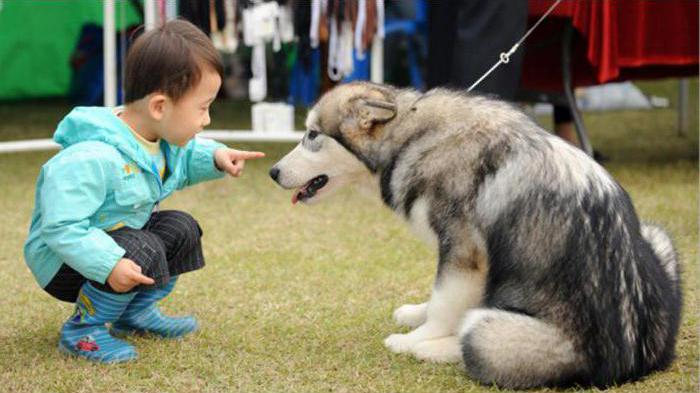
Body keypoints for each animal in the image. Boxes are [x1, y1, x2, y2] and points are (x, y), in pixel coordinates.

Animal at [266, 81, 680, 388]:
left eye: (312, 135)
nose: (272, 171)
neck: (410, 138)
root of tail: (631, 359)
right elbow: (440, 298)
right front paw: (416, 314)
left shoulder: (465, 252)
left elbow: (445, 304)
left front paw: (417, 339)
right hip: (656, 237)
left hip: (493, 333)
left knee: (472, 342)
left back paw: (431, 349)